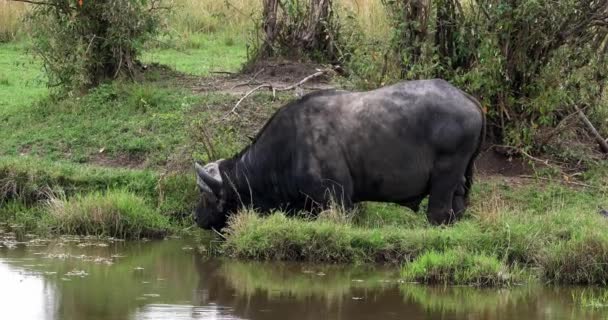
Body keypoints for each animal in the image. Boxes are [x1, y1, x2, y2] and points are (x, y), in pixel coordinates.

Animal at [195, 79, 484, 231]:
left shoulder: (338, 199)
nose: (196, 218)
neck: (289, 148)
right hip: (460, 180)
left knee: (438, 213)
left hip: (444, 178)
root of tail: (470, 100)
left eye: (206, 196)